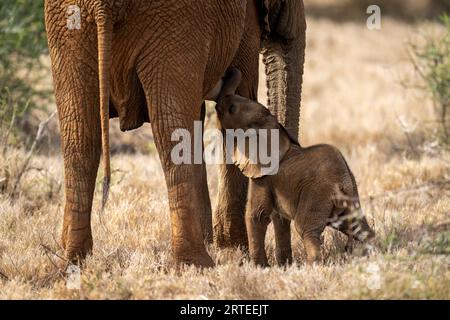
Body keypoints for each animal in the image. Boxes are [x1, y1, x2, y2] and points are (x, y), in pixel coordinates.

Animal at [45, 0, 306, 268]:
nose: (285, 262)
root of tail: (102, 5)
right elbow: (241, 95)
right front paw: (236, 254)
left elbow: (201, 115)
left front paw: (221, 247)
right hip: (175, 21)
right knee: (169, 130)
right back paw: (196, 264)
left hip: (69, 27)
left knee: (80, 134)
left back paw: (72, 260)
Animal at [213, 69, 374, 266]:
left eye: (232, 109)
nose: (232, 72)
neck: (271, 125)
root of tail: (343, 183)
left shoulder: (264, 177)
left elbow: (257, 215)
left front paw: (260, 267)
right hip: (351, 198)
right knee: (360, 228)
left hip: (316, 195)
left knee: (305, 229)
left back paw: (312, 266)